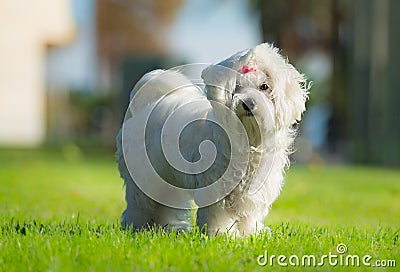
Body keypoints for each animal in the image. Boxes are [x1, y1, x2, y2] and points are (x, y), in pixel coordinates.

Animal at [115, 42, 310, 236]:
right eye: (236, 87)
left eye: (264, 87)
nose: (247, 103)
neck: (248, 138)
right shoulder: (216, 187)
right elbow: (218, 214)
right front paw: (223, 235)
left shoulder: (254, 191)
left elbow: (248, 215)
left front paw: (250, 233)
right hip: (144, 176)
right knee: (140, 204)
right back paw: (137, 227)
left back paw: (168, 229)